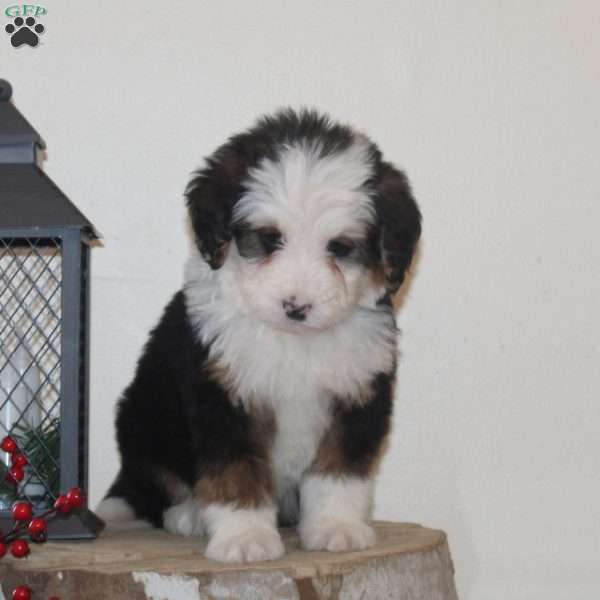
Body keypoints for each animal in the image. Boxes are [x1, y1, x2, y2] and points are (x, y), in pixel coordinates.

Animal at [96, 110, 420, 564]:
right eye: (269, 239)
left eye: (340, 248)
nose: (296, 306)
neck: (295, 339)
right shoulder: (224, 394)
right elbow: (236, 470)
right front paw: (244, 537)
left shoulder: (359, 392)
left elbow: (339, 470)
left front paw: (335, 527)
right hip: (145, 419)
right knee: (161, 486)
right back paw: (189, 515)